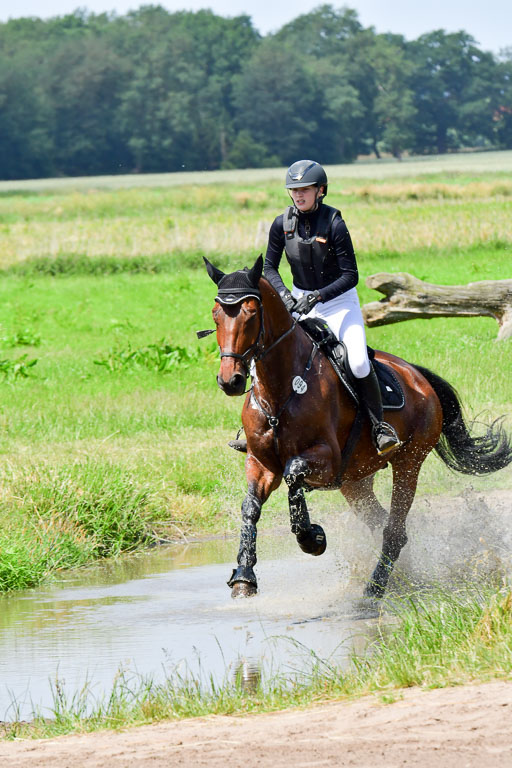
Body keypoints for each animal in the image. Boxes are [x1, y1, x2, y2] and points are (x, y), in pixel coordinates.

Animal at [202, 255, 512, 599]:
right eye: (216, 315)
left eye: (251, 313)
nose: (230, 381)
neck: (282, 388)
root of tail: (418, 376)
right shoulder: (261, 463)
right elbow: (250, 508)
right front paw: (244, 577)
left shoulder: (325, 459)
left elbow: (294, 474)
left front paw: (312, 538)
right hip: (355, 480)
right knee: (379, 523)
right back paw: (401, 578)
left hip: (408, 462)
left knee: (394, 530)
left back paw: (374, 590)